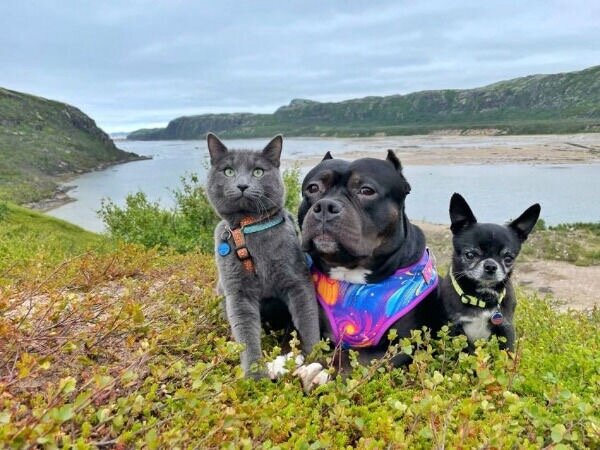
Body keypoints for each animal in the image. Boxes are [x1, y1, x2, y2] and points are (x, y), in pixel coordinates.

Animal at [205, 133, 320, 378]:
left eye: (258, 171)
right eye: (228, 171)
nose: (242, 184)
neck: (249, 229)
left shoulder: (297, 280)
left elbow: (307, 318)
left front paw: (315, 355)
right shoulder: (238, 293)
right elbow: (246, 334)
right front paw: (255, 376)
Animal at [289, 151, 444, 390]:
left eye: (366, 190)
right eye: (313, 188)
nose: (325, 206)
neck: (352, 276)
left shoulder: (399, 345)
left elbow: (356, 357)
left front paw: (321, 368)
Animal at [439, 193, 541, 352]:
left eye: (508, 258)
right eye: (470, 255)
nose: (491, 266)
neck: (482, 298)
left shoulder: (506, 329)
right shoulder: (454, 329)